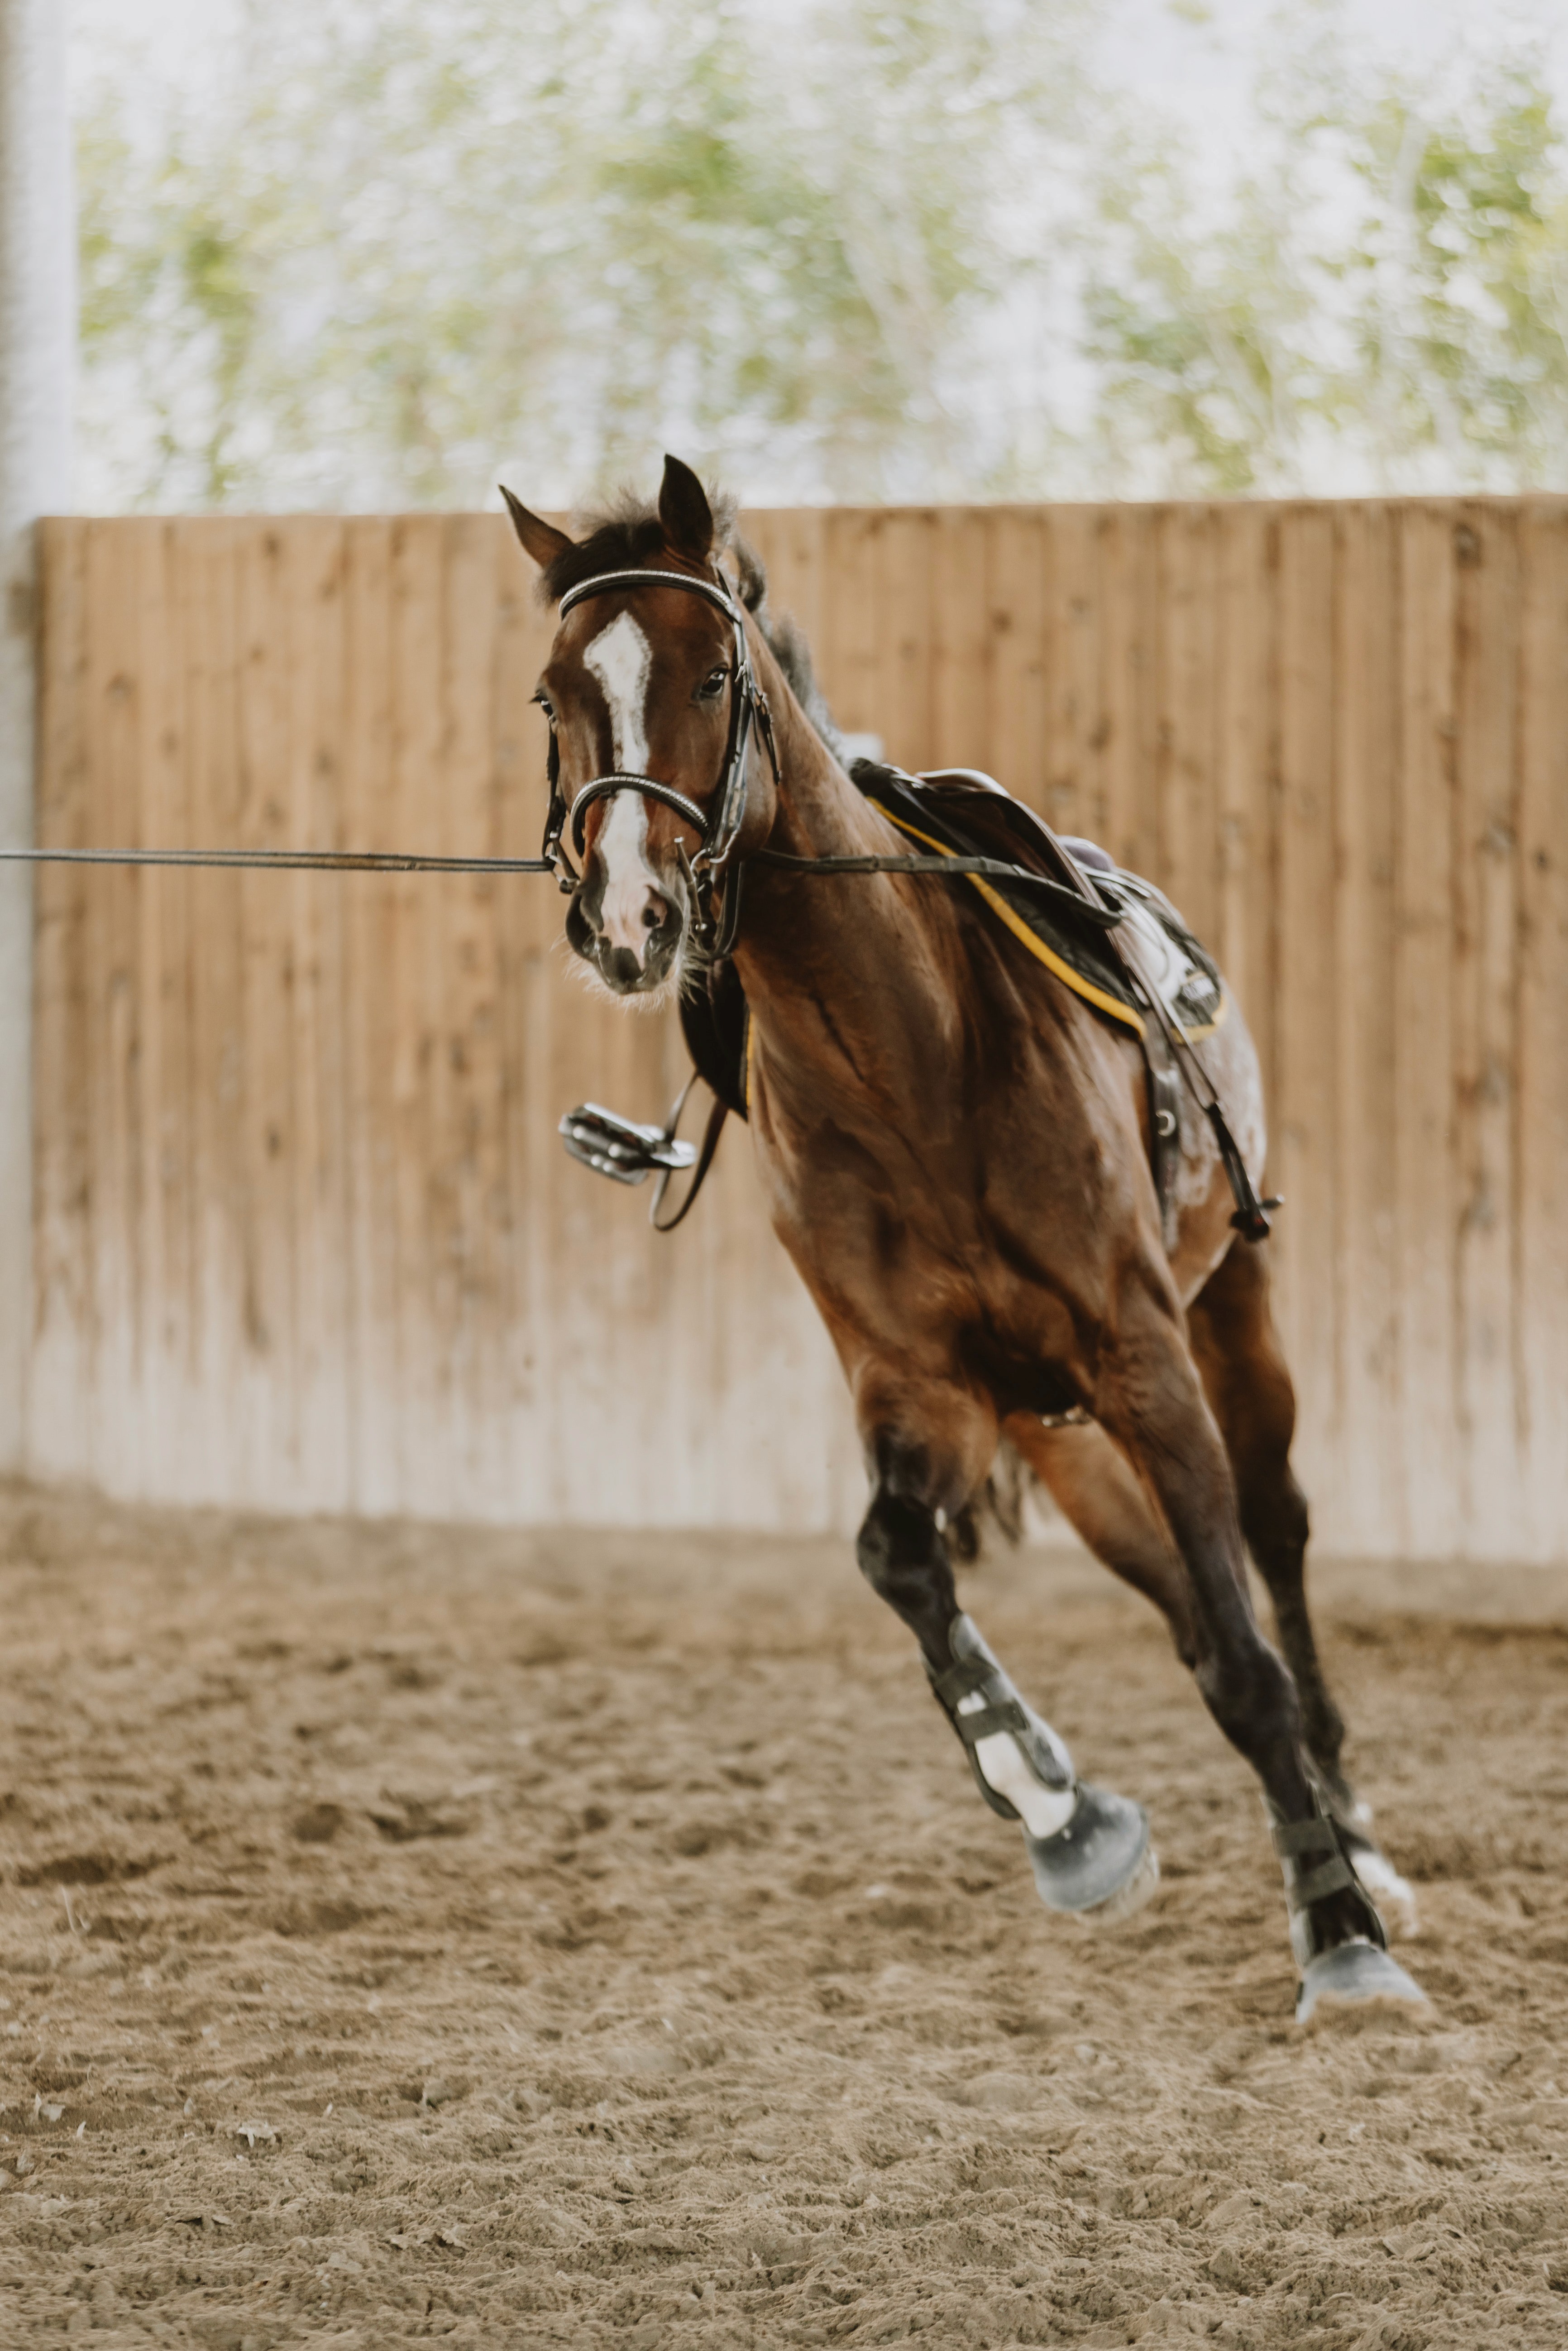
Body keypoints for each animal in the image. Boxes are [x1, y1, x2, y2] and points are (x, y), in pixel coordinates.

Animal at [501, 455, 1428, 2026]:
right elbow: (898, 1560)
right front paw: (1061, 1809)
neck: (906, 1054)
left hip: (1227, 1321)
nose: (626, 917)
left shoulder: (1140, 1353)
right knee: (1175, 1591)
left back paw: (1349, 1831)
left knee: (1273, 1549)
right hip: (1053, 1431)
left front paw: (1340, 1930)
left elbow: (1247, 1652)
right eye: (553, 691)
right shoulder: (913, 1386)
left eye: (709, 674)